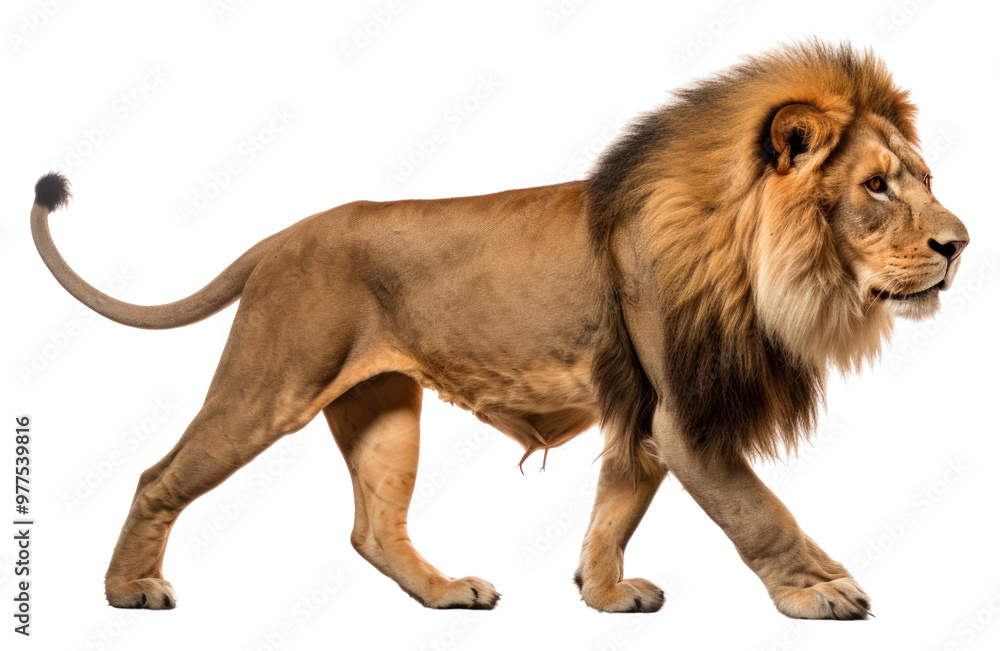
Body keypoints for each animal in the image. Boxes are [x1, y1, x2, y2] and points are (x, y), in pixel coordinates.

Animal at [30, 41, 968, 619]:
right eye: (876, 186)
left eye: (922, 178)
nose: (960, 244)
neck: (760, 263)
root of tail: (284, 235)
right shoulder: (684, 415)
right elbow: (762, 511)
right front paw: (821, 590)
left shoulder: (644, 413)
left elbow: (615, 508)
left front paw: (602, 592)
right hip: (272, 381)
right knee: (157, 475)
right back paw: (130, 587)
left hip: (383, 407)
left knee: (373, 528)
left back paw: (447, 592)